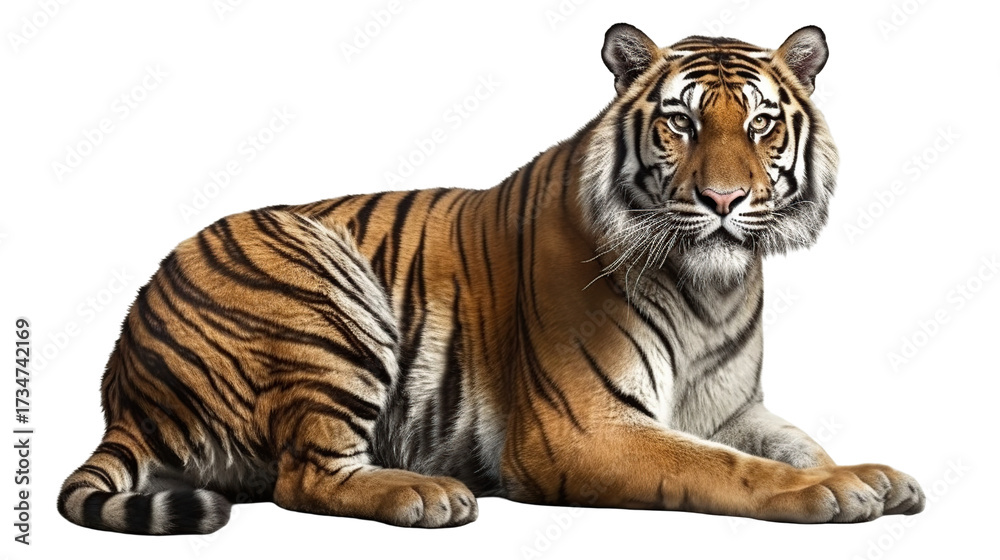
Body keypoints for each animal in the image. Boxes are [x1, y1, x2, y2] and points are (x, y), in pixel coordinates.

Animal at [59, 23, 926, 534]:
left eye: (761, 124)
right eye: (680, 123)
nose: (723, 200)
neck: (711, 290)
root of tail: (123, 383)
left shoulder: (733, 408)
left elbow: (799, 444)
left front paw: (881, 477)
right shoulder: (583, 428)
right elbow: (724, 467)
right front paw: (836, 491)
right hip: (321, 292)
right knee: (303, 478)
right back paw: (424, 493)